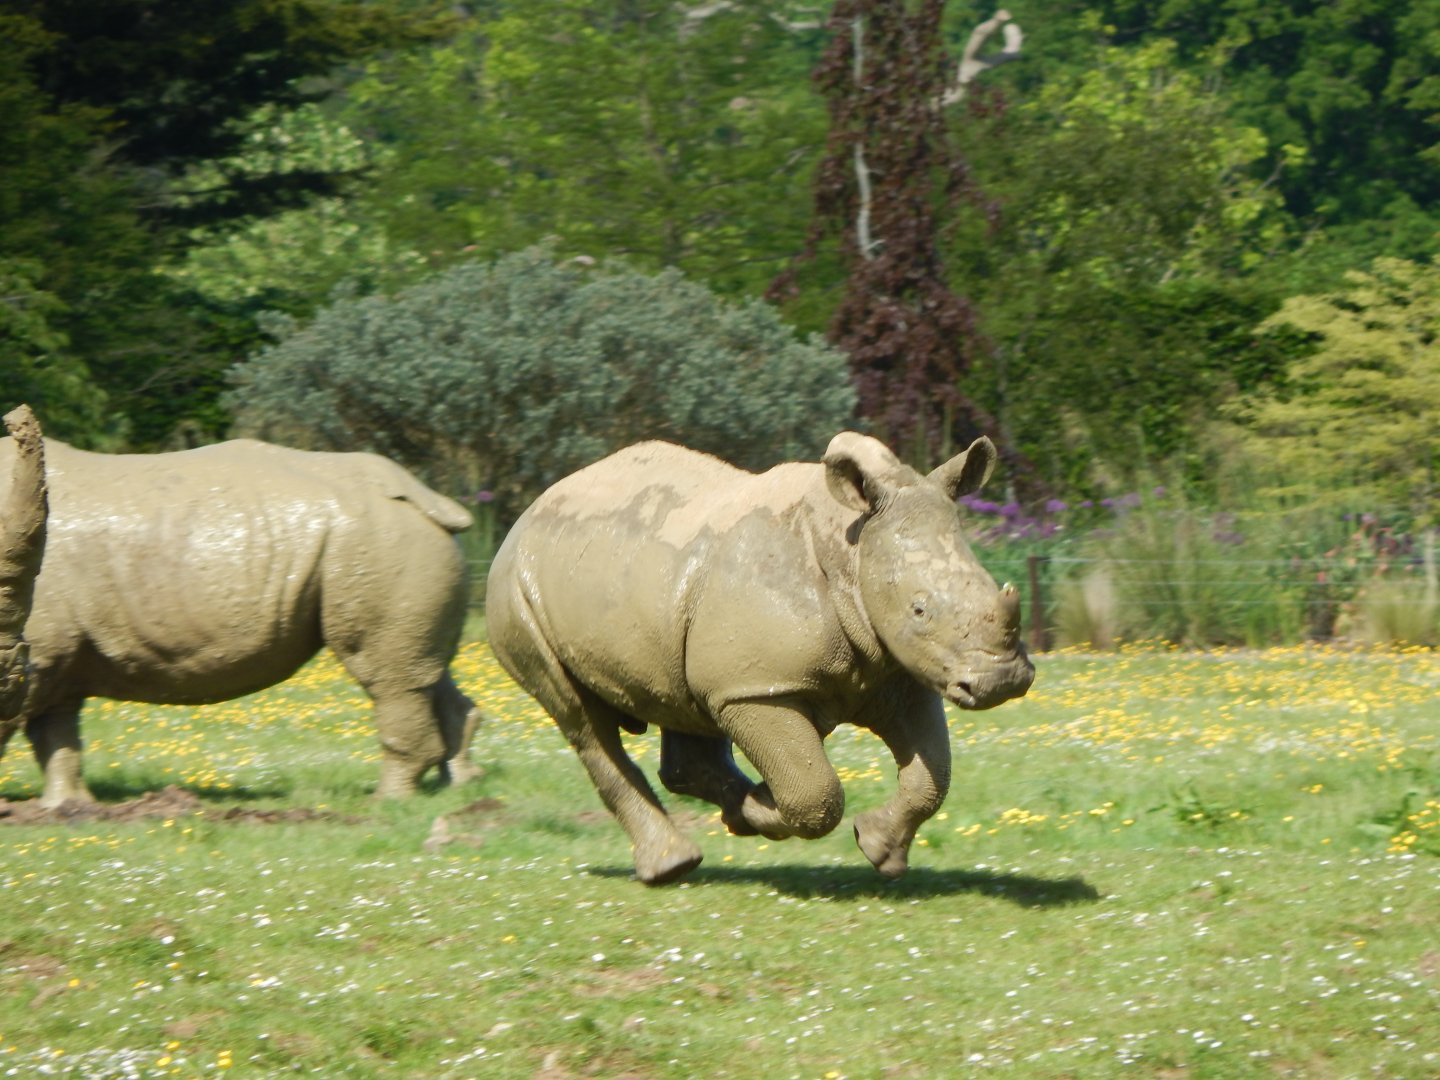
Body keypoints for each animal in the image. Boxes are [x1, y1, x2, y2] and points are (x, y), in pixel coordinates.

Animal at [0, 435, 481, 807]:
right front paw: (65, 808)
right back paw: (455, 788)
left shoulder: (35, 648)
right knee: (424, 669)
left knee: (389, 677)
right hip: (397, 536)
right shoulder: (55, 653)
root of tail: (429, 497)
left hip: (379, 537)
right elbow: (55, 732)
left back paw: (389, 801)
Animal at [486, 432, 1034, 884]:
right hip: (515, 588)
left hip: (657, 581)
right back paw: (674, 864)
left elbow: (932, 776)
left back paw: (729, 813)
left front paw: (877, 850)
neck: (850, 551)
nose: (1002, 681)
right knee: (582, 720)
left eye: (992, 585)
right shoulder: (758, 689)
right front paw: (764, 809)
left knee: (685, 700)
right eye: (919, 609)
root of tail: (530, 511)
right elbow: (815, 793)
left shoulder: (902, 673)